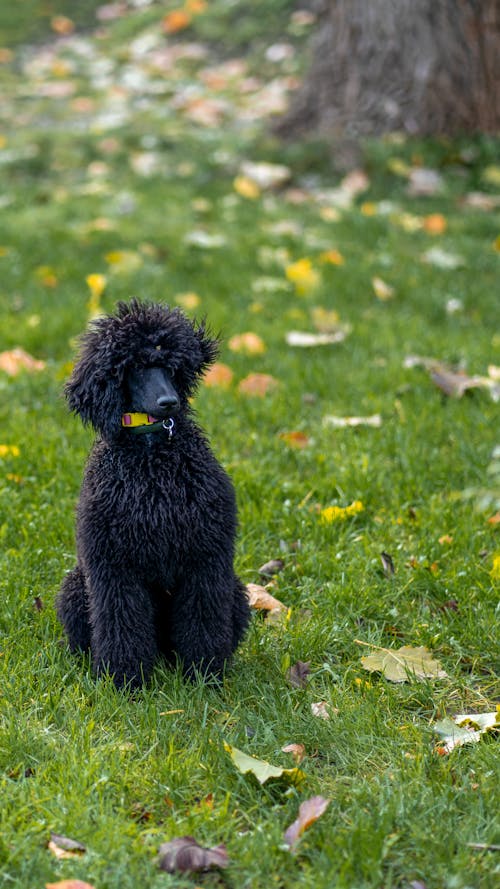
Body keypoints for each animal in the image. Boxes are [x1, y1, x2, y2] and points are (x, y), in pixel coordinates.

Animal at [57, 298, 250, 688]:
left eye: (169, 365)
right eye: (134, 367)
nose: (169, 402)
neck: (152, 459)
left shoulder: (205, 558)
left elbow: (202, 622)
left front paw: (204, 676)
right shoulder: (113, 566)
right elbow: (122, 624)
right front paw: (126, 681)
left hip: (234, 590)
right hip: (75, 589)